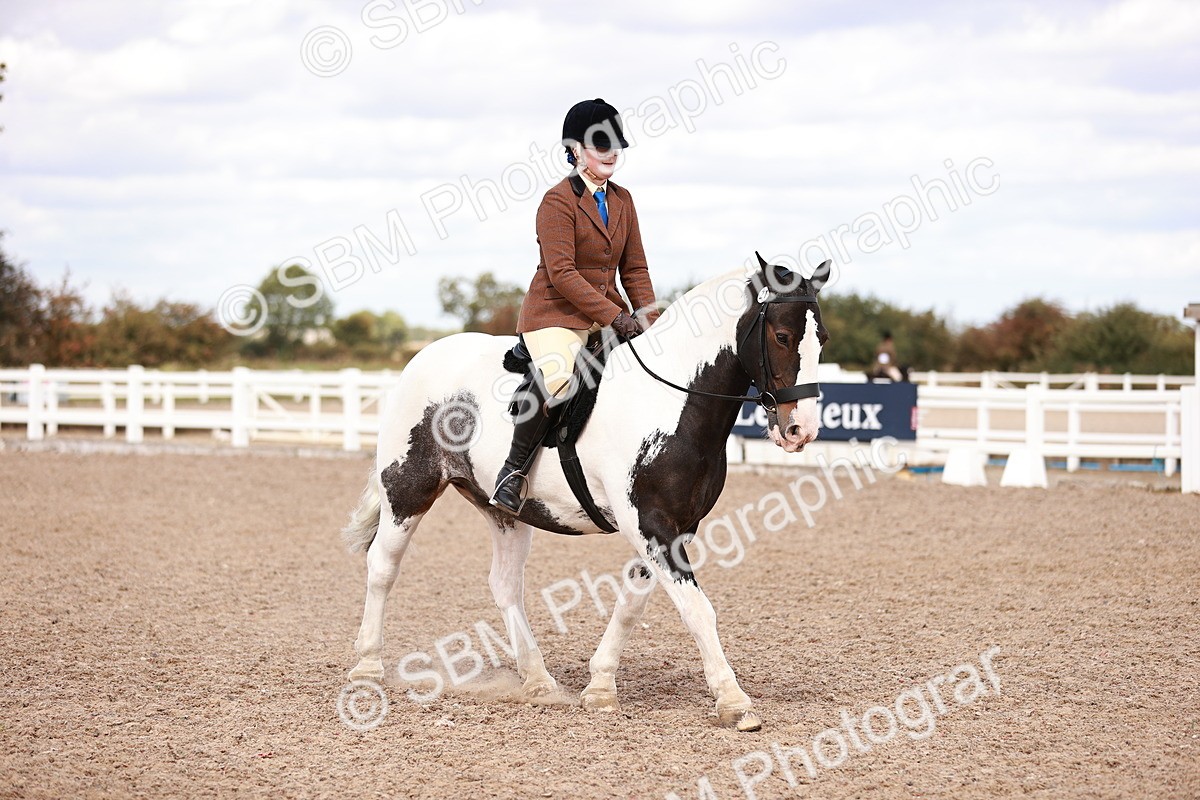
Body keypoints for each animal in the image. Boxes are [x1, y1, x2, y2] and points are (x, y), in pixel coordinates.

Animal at [342, 254, 830, 731]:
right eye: (782, 336)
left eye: (821, 339)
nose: (800, 431)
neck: (672, 400)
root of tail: (423, 356)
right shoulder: (650, 523)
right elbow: (697, 609)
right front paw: (733, 702)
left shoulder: (675, 526)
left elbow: (633, 603)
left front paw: (599, 686)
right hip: (408, 490)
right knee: (382, 566)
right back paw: (368, 666)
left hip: (505, 512)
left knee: (505, 585)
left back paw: (538, 680)